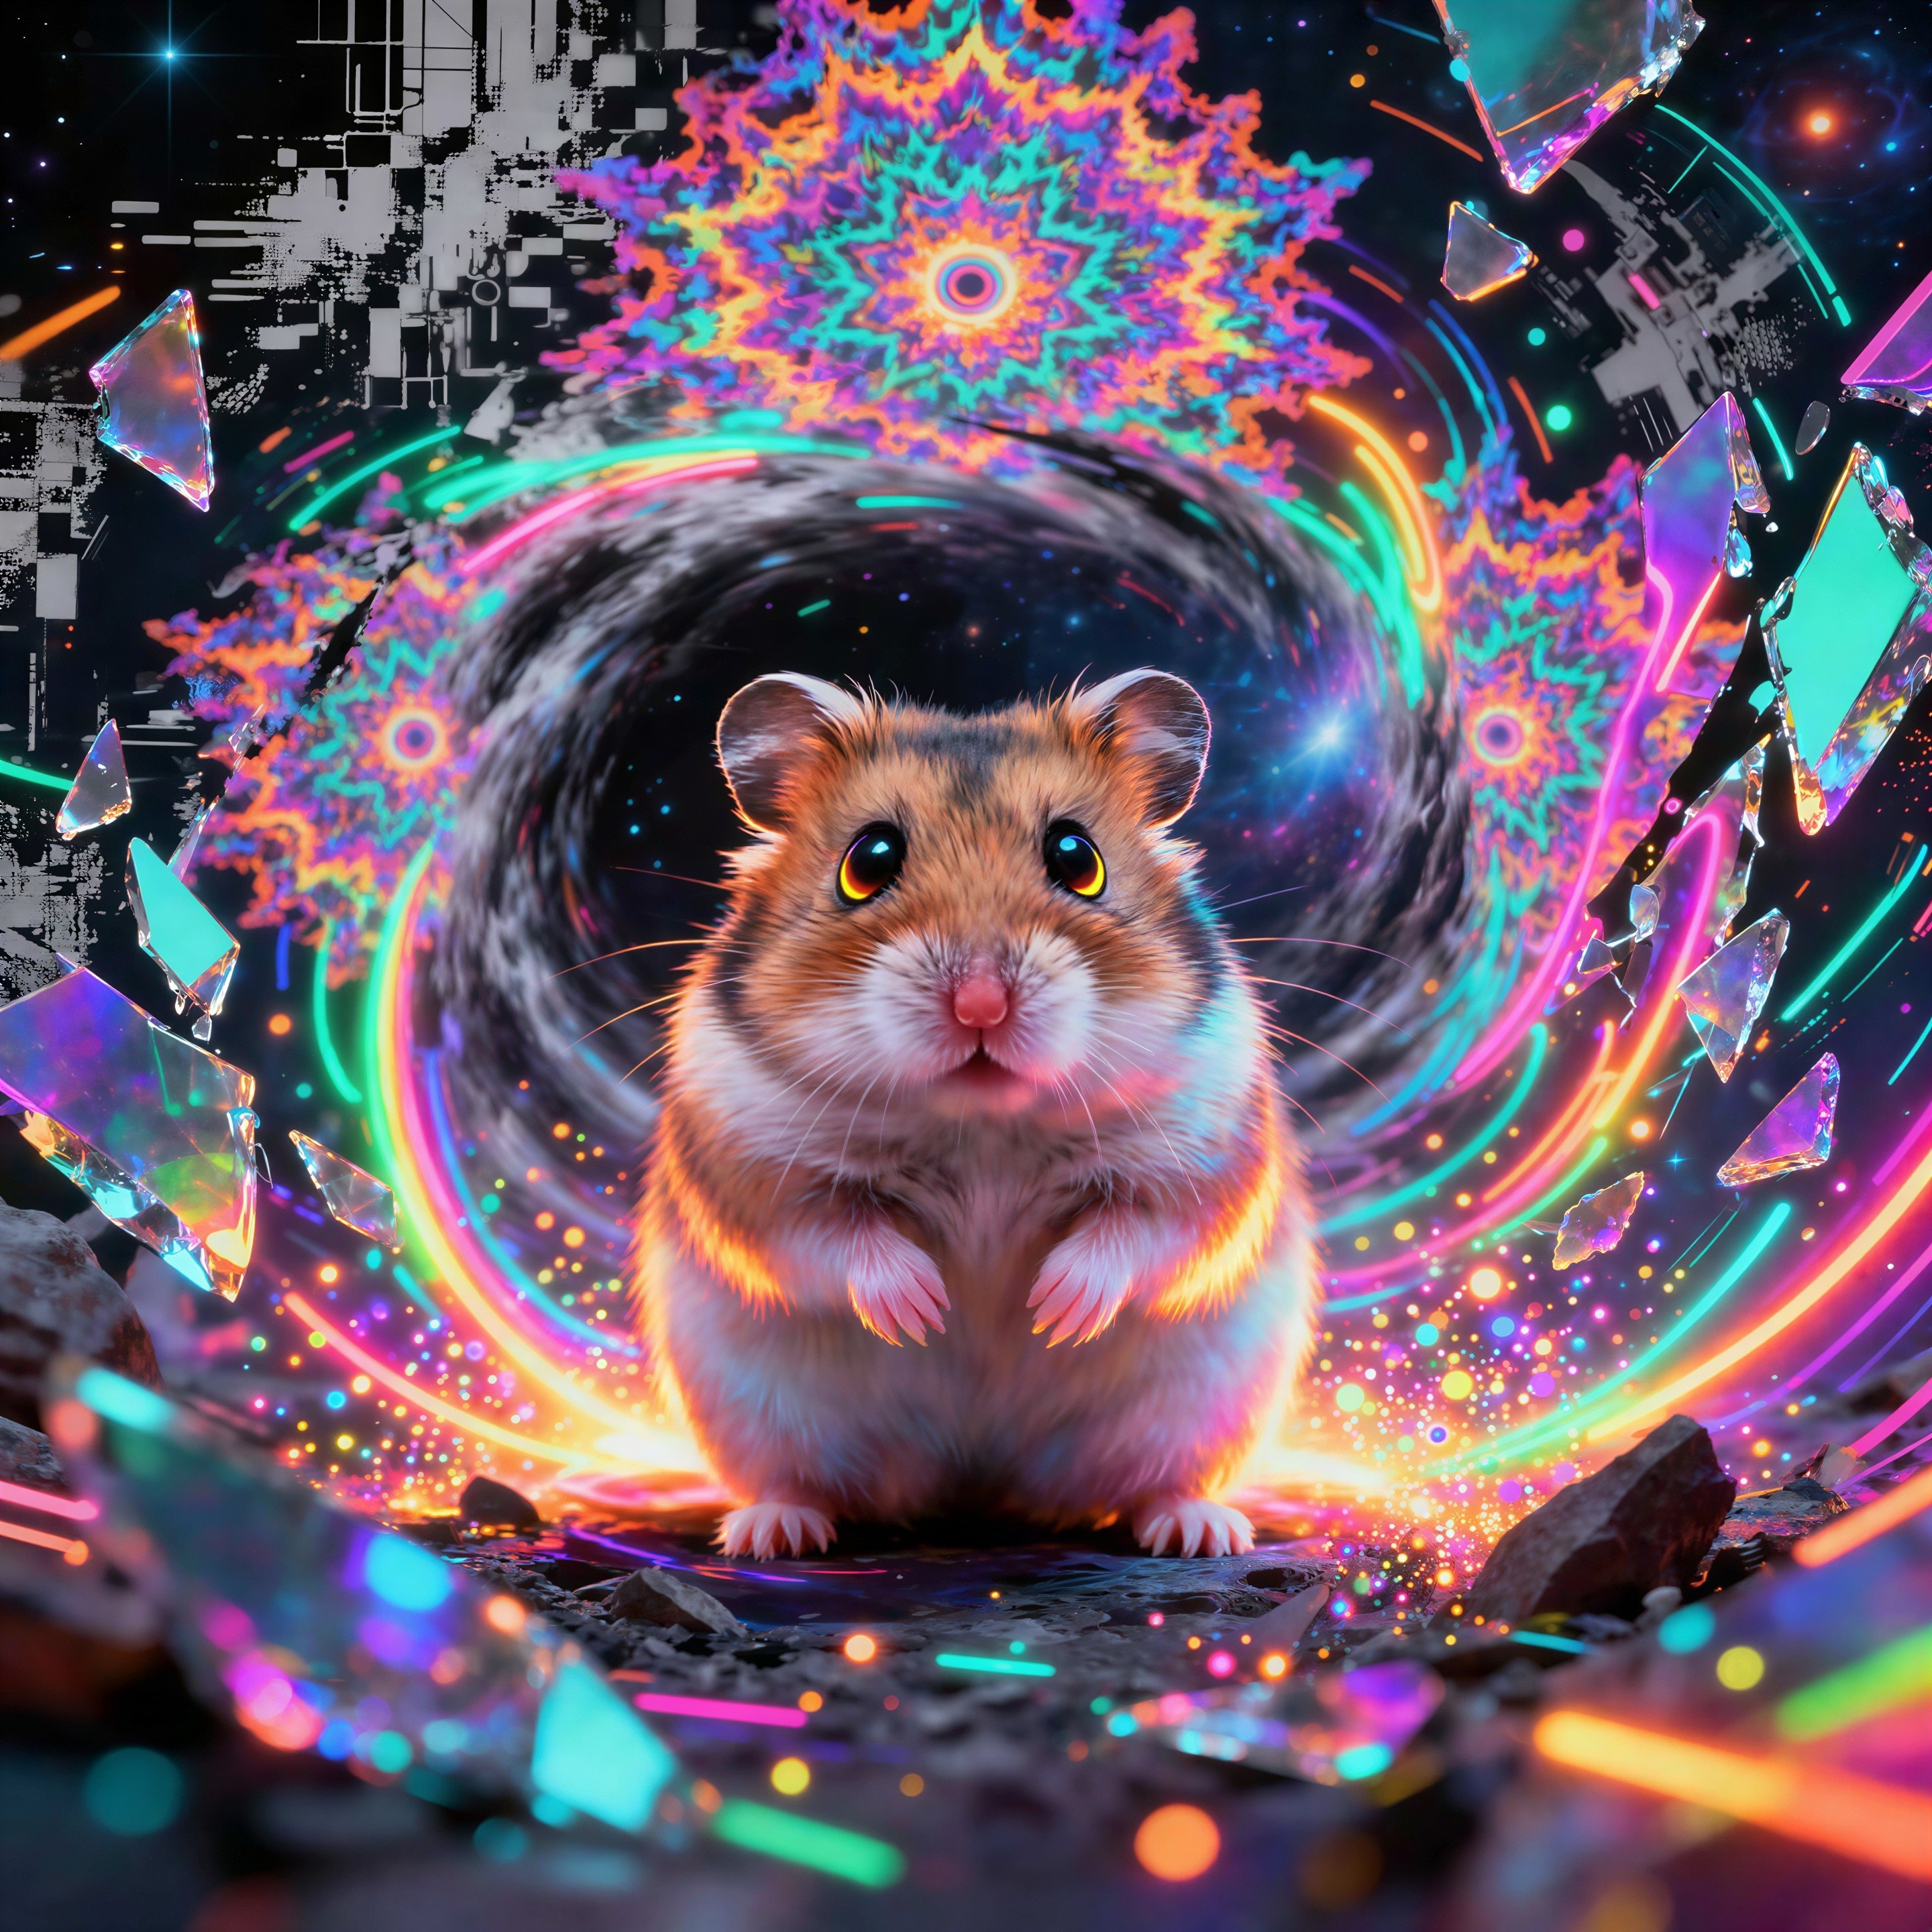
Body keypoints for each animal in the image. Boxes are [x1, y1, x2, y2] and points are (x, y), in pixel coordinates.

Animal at [637, 668, 1312, 1558]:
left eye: (1077, 858)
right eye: (868, 861)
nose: (981, 1005)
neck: (981, 1124)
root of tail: (980, 1487)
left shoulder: (1205, 1157)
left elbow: (1143, 1230)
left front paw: (1054, 1313)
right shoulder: (746, 1170)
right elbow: (828, 1234)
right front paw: (924, 1313)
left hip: (1199, 1412)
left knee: (1155, 1483)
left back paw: (1199, 1530)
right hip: (760, 1415)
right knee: (799, 1481)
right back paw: (772, 1532)